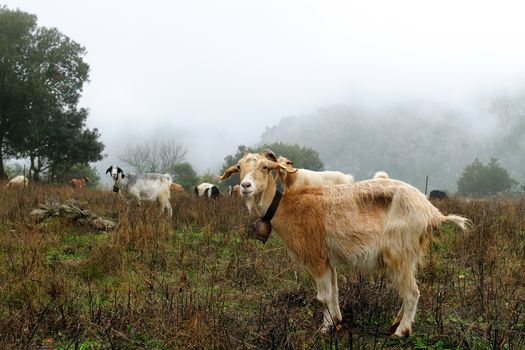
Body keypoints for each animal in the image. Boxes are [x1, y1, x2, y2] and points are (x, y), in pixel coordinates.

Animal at [219, 150, 468, 336]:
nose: (246, 186)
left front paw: (324, 328)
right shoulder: (328, 260)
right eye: (239, 167)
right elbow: (335, 292)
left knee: (412, 291)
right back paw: (396, 322)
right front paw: (337, 321)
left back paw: (401, 331)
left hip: (397, 253)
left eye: (265, 167)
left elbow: (323, 297)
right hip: (410, 254)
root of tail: (431, 212)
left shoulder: (316, 258)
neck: (286, 207)